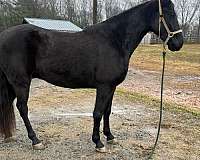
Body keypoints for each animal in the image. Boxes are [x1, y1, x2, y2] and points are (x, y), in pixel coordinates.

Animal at [0, 0, 183, 152]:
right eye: (169, 12)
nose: (178, 43)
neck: (114, 41)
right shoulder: (103, 87)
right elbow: (98, 113)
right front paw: (98, 143)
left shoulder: (111, 87)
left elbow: (108, 111)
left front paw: (110, 137)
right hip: (20, 82)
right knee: (22, 108)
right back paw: (35, 140)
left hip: (12, 83)